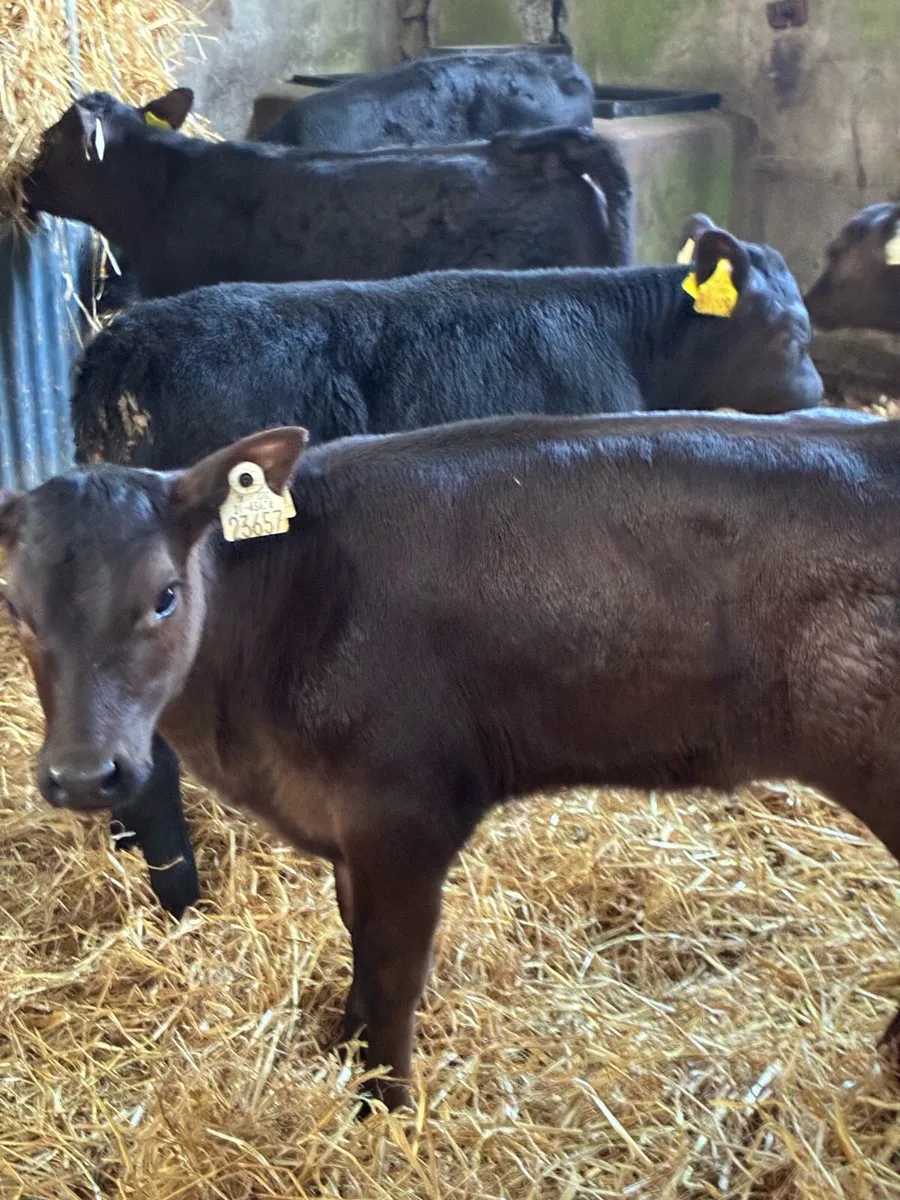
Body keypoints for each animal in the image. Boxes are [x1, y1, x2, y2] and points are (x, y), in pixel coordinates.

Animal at [3, 407, 899, 1114]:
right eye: (13, 604)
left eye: (164, 595)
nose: (85, 773)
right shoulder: (349, 829)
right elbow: (356, 942)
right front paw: (345, 1056)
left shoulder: (407, 812)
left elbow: (392, 968)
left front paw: (385, 1109)